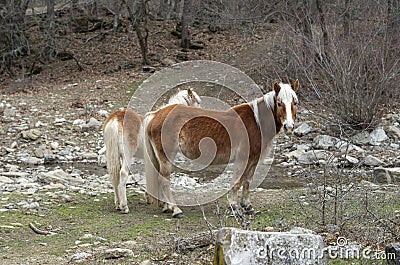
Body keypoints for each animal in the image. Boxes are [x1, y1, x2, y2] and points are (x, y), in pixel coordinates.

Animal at [143, 80, 296, 217]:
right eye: (279, 103)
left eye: (295, 102)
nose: (289, 127)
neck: (256, 122)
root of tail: (155, 114)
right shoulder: (243, 159)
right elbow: (237, 182)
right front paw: (234, 208)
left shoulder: (254, 159)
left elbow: (247, 182)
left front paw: (247, 207)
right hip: (166, 157)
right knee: (164, 180)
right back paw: (176, 210)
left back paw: (167, 207)